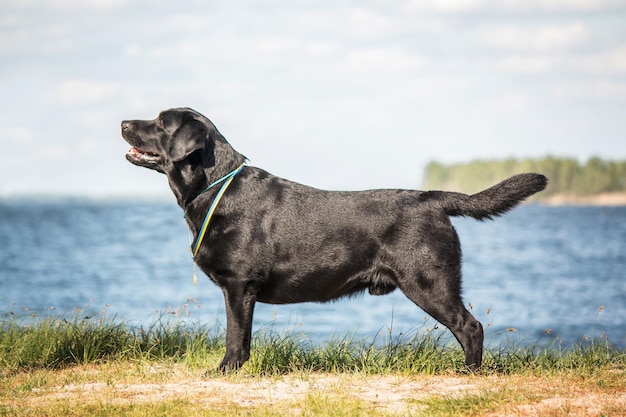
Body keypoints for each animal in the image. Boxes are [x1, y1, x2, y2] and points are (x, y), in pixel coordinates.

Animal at [122, 108, 544, 370]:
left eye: (160, 121)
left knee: (471, 327)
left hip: (429, 282)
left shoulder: (239, 285)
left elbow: (234, 337)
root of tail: (431, 197)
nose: (124, 121)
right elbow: (243, 339)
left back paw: (469, 373)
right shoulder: (242, 290)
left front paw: (226, 371)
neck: (214, 187)